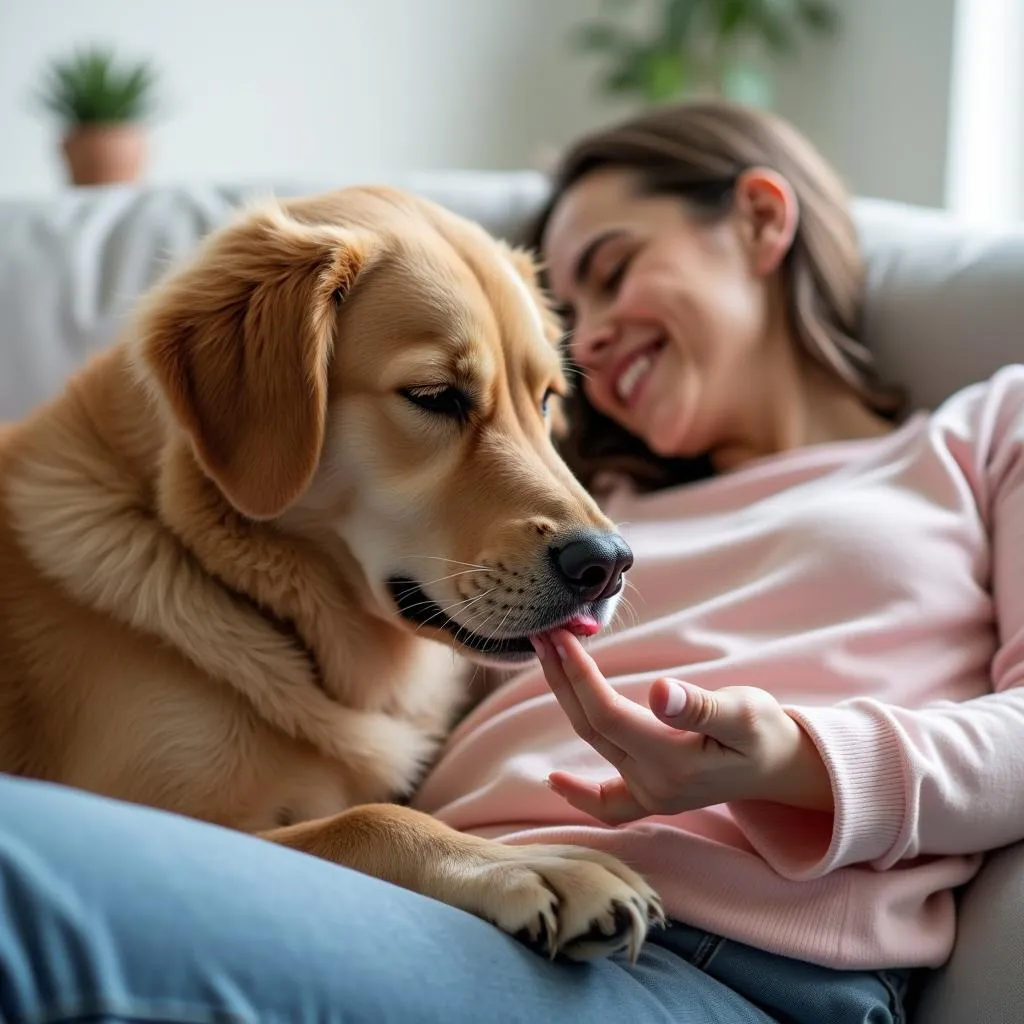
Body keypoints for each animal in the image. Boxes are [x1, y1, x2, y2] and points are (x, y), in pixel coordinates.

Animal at [0, 184, 663, 958]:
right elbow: (366, 819)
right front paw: (534, 864)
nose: (608, 565)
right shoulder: (146, 812)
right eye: (435, 396)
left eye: (547, 398)